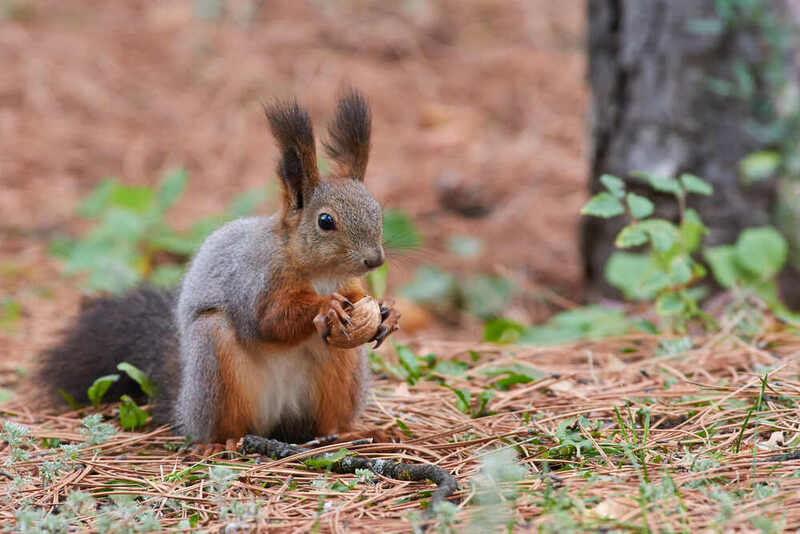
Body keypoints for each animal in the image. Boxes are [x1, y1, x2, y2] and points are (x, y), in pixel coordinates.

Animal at [35, 89, 401, 446]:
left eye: (377, 210)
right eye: (326, 221)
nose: (375, 260)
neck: (321, 273)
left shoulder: (349, 284)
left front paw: (388, 312)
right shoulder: (256, 280)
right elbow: (268, 321)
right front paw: (326, 307)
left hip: (341, 366)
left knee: (326, 423)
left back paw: (354, 432)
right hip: (215, 360)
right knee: (226, 421)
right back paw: (219, 443)